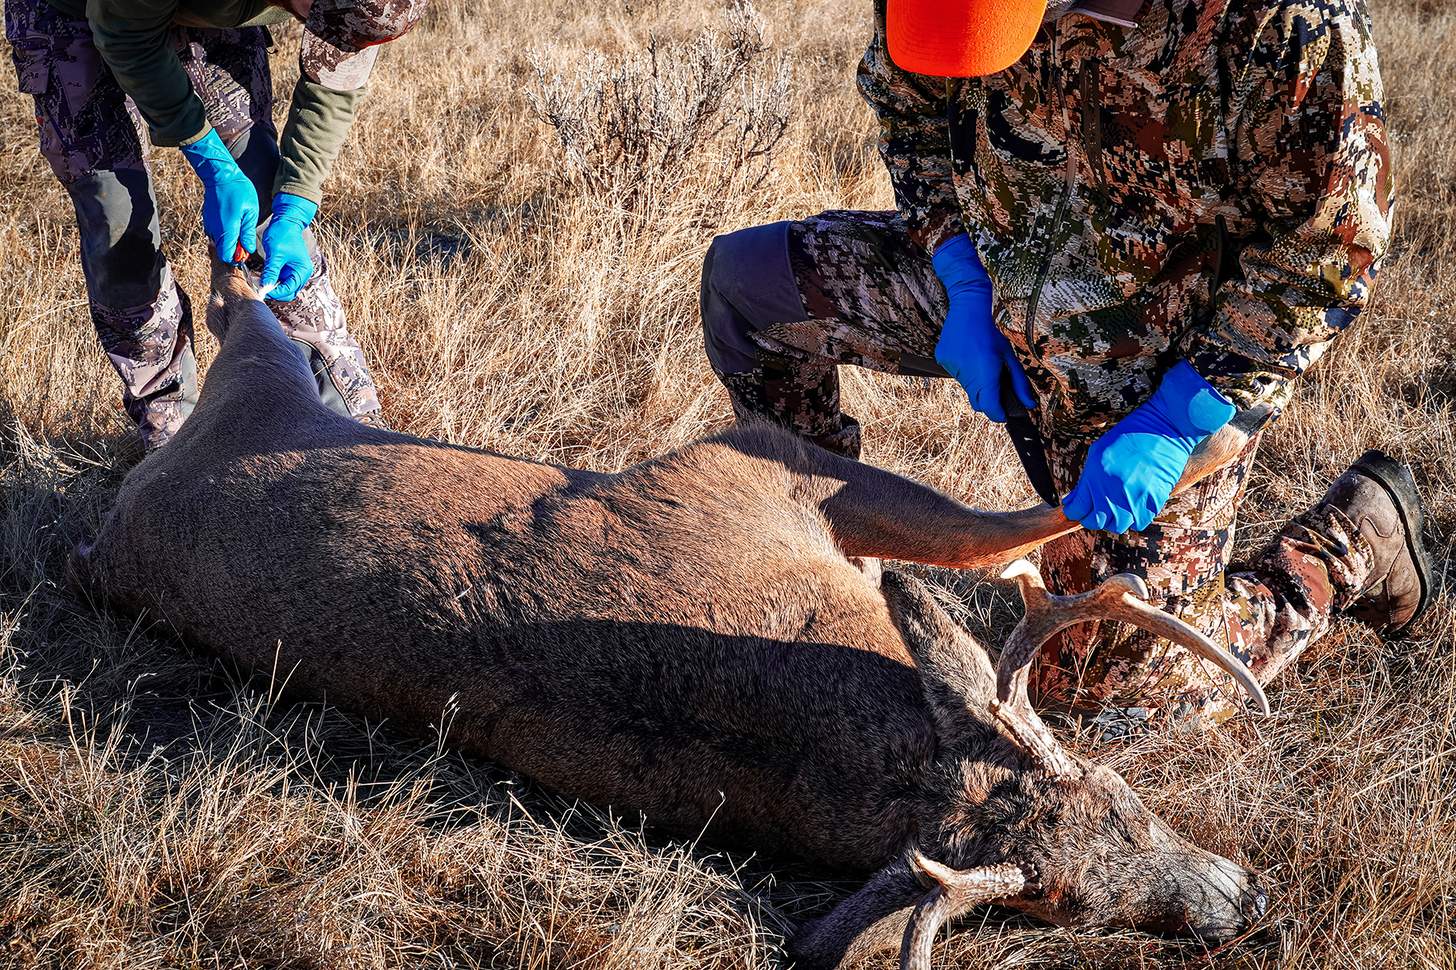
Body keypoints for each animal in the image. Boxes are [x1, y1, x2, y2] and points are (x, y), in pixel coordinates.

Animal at [73, 261, 1270, 969]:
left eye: (1119, 816)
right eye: (1070, 899)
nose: (1236, 902)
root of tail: (112, 526)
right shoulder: (749, 466)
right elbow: (1009, 519)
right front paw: (1200, 436)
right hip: (263, 376)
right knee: (241, 308)